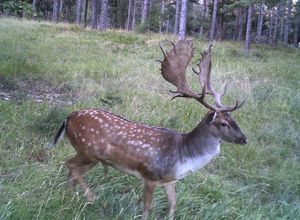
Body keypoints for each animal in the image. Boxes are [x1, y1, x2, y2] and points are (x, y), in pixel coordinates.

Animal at [48, 40, 246, 219]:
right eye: (223, 123)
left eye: (234, 119)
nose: (244, 139)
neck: (183, 155)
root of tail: (68, 117)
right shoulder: (150, 175)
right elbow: (147, 207)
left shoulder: (170, 181)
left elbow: (173, 204)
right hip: (88, 150)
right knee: (69, 165)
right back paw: (90, 197)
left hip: (90, 156)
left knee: (72, 172)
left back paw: (72, 200)